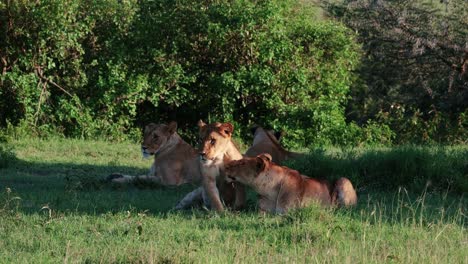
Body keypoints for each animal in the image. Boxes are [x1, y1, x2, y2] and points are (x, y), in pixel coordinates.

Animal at [225, 154, 356, 213]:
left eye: (241, 163)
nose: (226, 166)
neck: (269, 190)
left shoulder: (286, 211)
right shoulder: (263, 211)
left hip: (343, 180)